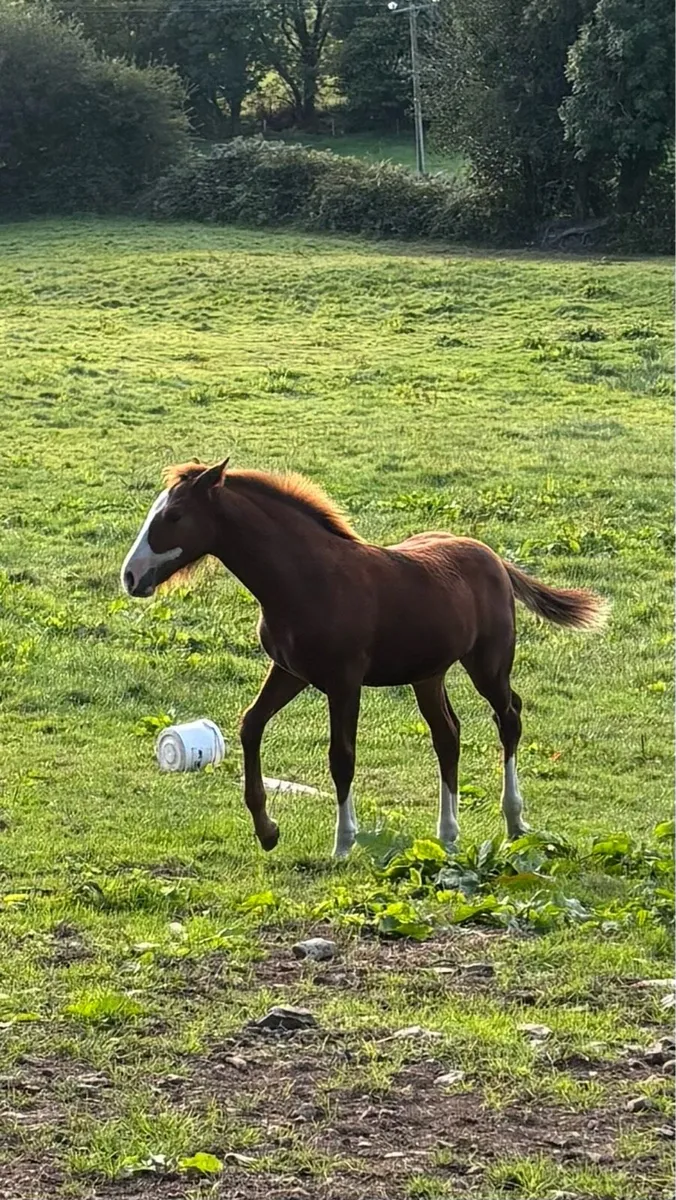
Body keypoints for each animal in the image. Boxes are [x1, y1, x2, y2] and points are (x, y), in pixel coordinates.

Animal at [120, 459, 607, 858]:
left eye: (173, 516)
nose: (130, 576)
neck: (307, 579)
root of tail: (493, 557)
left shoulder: (344, 682)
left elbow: (342, 756)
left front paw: (342, 843)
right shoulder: (290, 672)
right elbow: (250, 725)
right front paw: (267, 831)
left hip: (488, 663)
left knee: (508, 718)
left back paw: (514, 821)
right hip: (427, 674)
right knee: (448, 735)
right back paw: (448, 835)